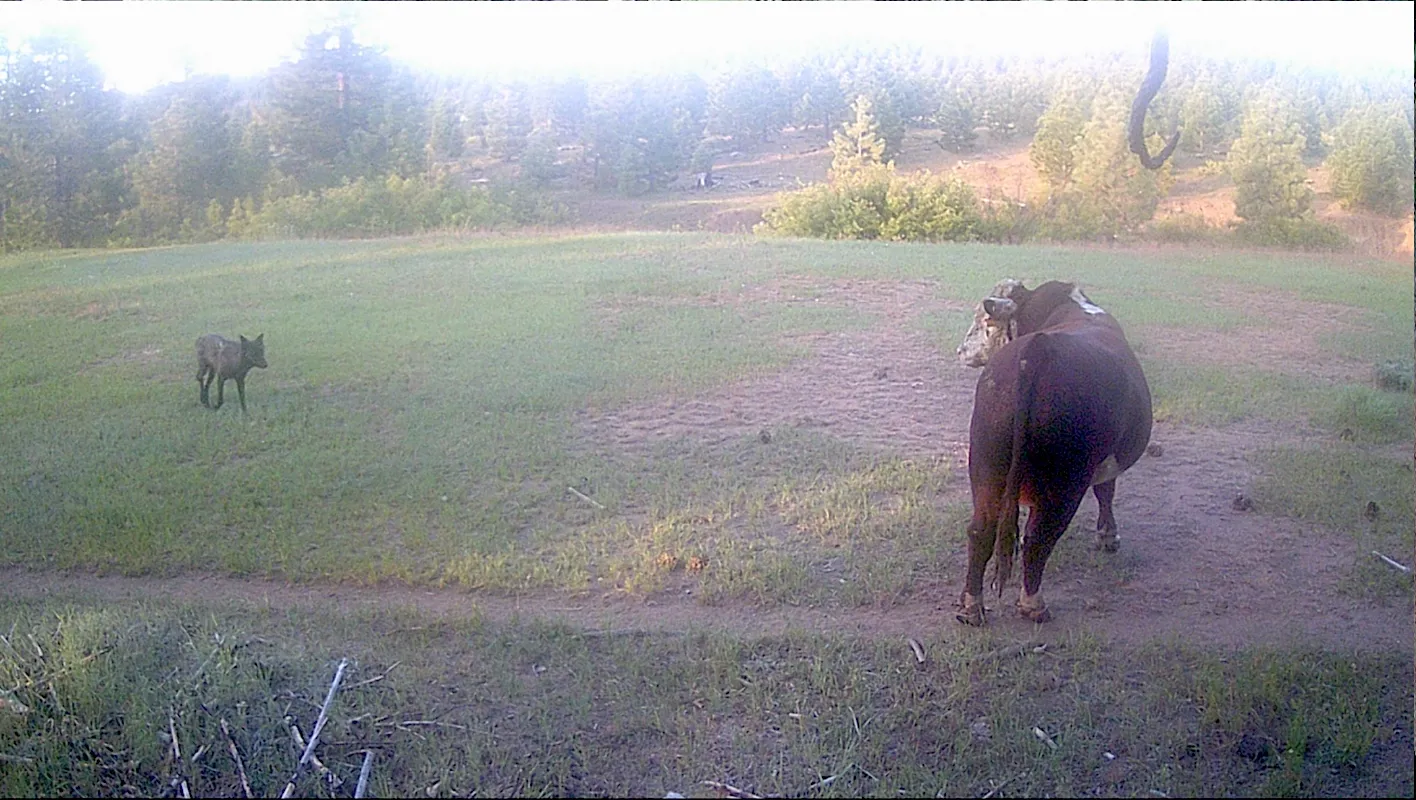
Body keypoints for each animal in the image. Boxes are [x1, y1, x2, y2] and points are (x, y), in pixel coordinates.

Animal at [953, 280, 1152, 626]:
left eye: (984, 322)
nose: (961, 351)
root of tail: (1040, 349)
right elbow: (1106, 491)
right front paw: (1108, 536)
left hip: (986, 469)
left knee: (981, 531)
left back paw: (971, 607)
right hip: (1065, 482)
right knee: (1040, 537)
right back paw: (1033, 604)